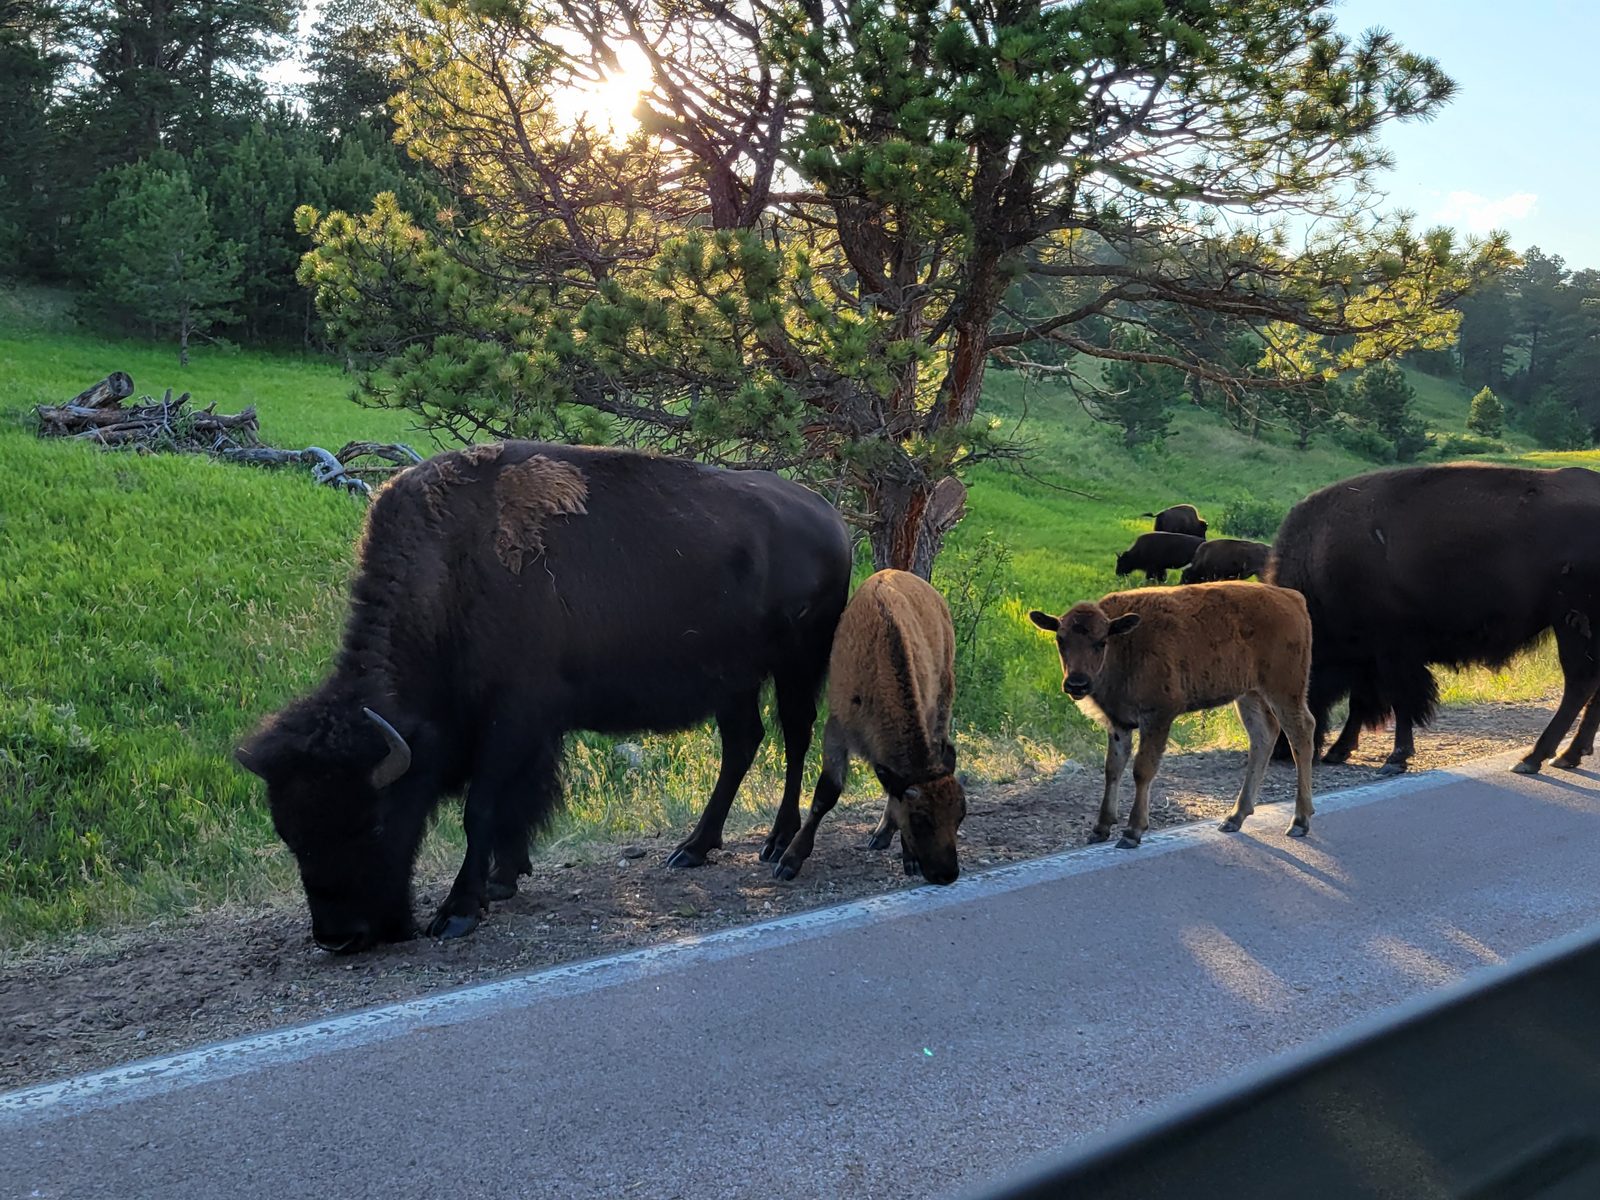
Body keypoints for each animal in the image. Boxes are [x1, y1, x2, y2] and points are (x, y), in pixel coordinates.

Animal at [235, 441, 851, 952]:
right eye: (290, 833)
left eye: (372, 822)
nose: (340, 938)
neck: (451, 578)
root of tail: (831, 518)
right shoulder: (529, 731)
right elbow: (514, 803)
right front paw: (503, 878)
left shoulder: (512, 720)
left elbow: (482, 808)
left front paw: (458, 911)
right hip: (734, 680)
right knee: (742, 744)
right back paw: (693, 849)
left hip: (798, 663)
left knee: (795, 737)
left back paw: (776, 842)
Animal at [774, 570, 966, 885]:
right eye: (920, 819)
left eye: (960, 815)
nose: (948, 874)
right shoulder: (836, 730)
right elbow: (826, 794)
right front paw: (789, 861)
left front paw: (909, 858)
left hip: (943, 698)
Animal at [1029, 583, 1316, 847]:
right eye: (1060, 640)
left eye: (1101, 642)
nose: (1076, 684)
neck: (1125, 643)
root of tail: (1292, 597)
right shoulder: (1119, 724)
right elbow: (1113, 768)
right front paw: (1100, 828)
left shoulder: (1157, 717)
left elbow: (1142, 769)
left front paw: (1132, 831)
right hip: (1249, 695)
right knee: (1263, 736)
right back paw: (1234, 817)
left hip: (1284, 690)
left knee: (1301, 734)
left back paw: (1299, 821)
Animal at [1267, 463, 1600, 777]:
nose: (1280, 753)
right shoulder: (1372, 658)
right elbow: (1363, 703)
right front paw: (1340, 751)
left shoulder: (1392, 652)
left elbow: (1400, 702)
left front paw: (1395, 758)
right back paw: (1570, 754)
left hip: (1572, 623)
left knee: (1578, 683)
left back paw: (1533, 758)